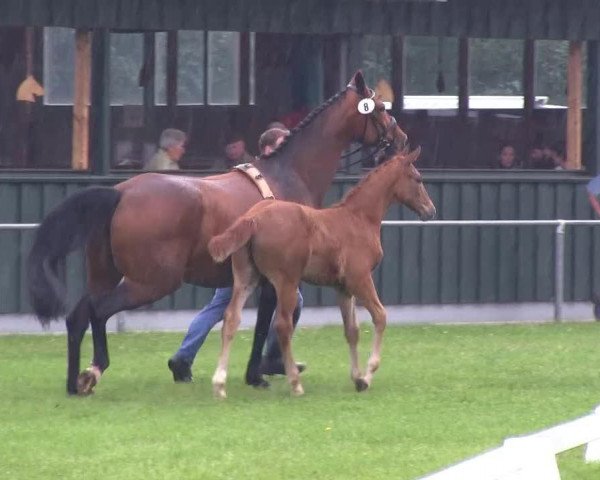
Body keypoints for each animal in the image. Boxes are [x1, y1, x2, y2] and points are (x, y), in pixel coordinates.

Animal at [209, 147, 434, 398]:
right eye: (418, 179)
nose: (430, 210)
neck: (359, 219)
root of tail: (253, 219)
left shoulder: (343, 288)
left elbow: (352, 330)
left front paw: (357, 378)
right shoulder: (360, 279)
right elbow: (380, 316)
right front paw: (367, 376)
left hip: (247, 278)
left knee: (231, 318)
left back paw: (219, 384)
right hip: (286, 281)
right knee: (283, 325)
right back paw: (295, 383)